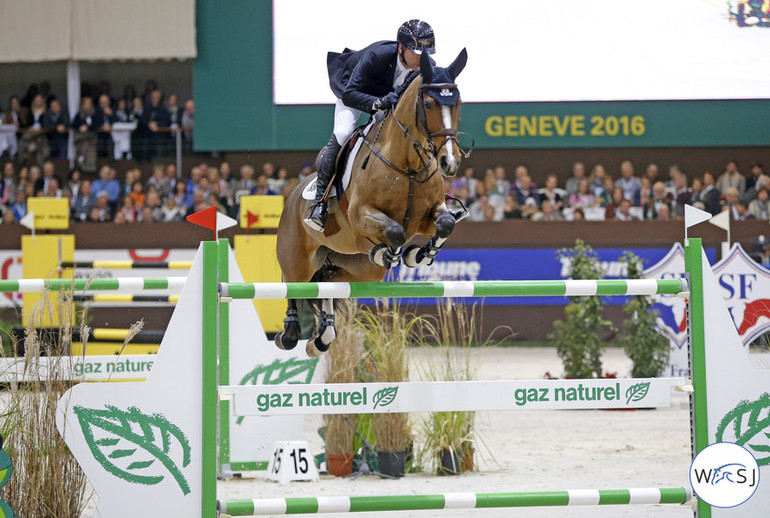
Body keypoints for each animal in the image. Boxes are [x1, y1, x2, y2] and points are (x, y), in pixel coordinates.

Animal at [274, 48, 468, 358]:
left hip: (357, 268)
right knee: (291, 282)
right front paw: (392, 252)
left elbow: (446, 223)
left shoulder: (428, 217)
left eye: (458, 102)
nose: (450, 162)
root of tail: (292, 194)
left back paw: (323, 338)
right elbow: (395, 231)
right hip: (297, 257)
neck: (408, 166)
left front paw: (417, 255)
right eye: (428, 103)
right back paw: (290, 333)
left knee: (328, 283)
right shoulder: (361, 216)